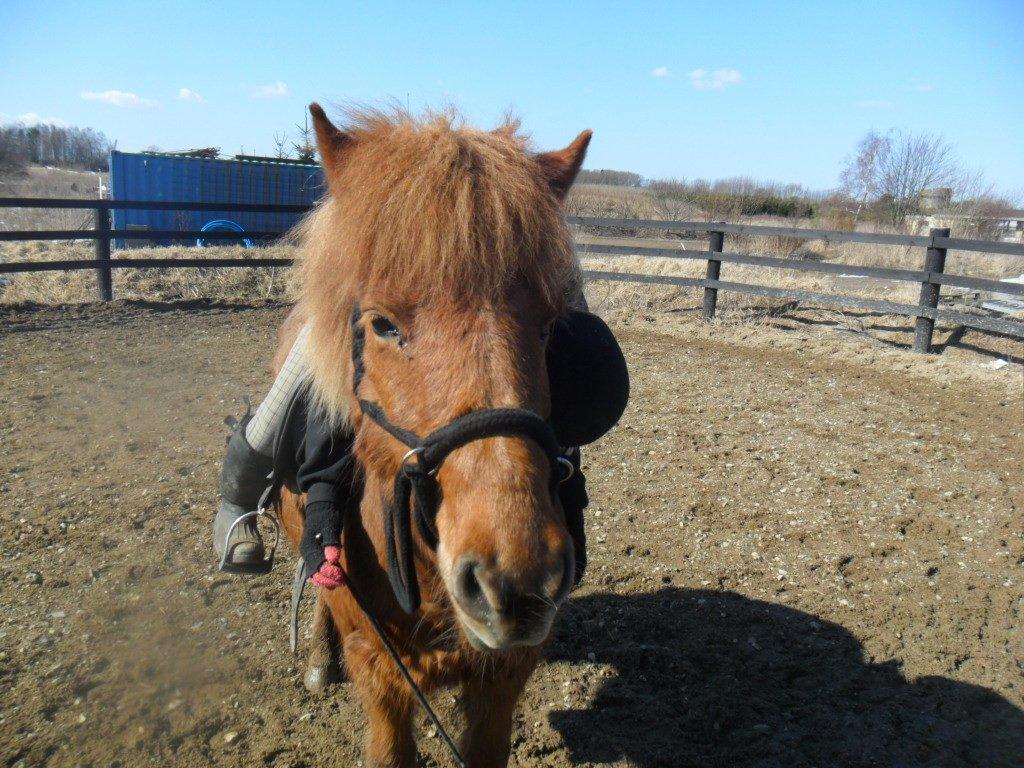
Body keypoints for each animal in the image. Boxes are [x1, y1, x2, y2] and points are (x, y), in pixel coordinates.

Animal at [274, 103, 593, 768]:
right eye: (383, 325)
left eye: (549, 326)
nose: (516, 581)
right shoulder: (380, 670)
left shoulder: (504, 678)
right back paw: (318, 657)